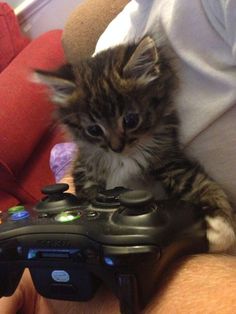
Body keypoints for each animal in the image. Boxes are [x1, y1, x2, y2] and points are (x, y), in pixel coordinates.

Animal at [34, 36, 235, 253]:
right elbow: (88, 194)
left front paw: (222, 229)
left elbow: (201, 184)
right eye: (94, 130)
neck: (123, 158)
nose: (116, 147)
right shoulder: (83, 167)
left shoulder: (168, 161)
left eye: (130, 120)